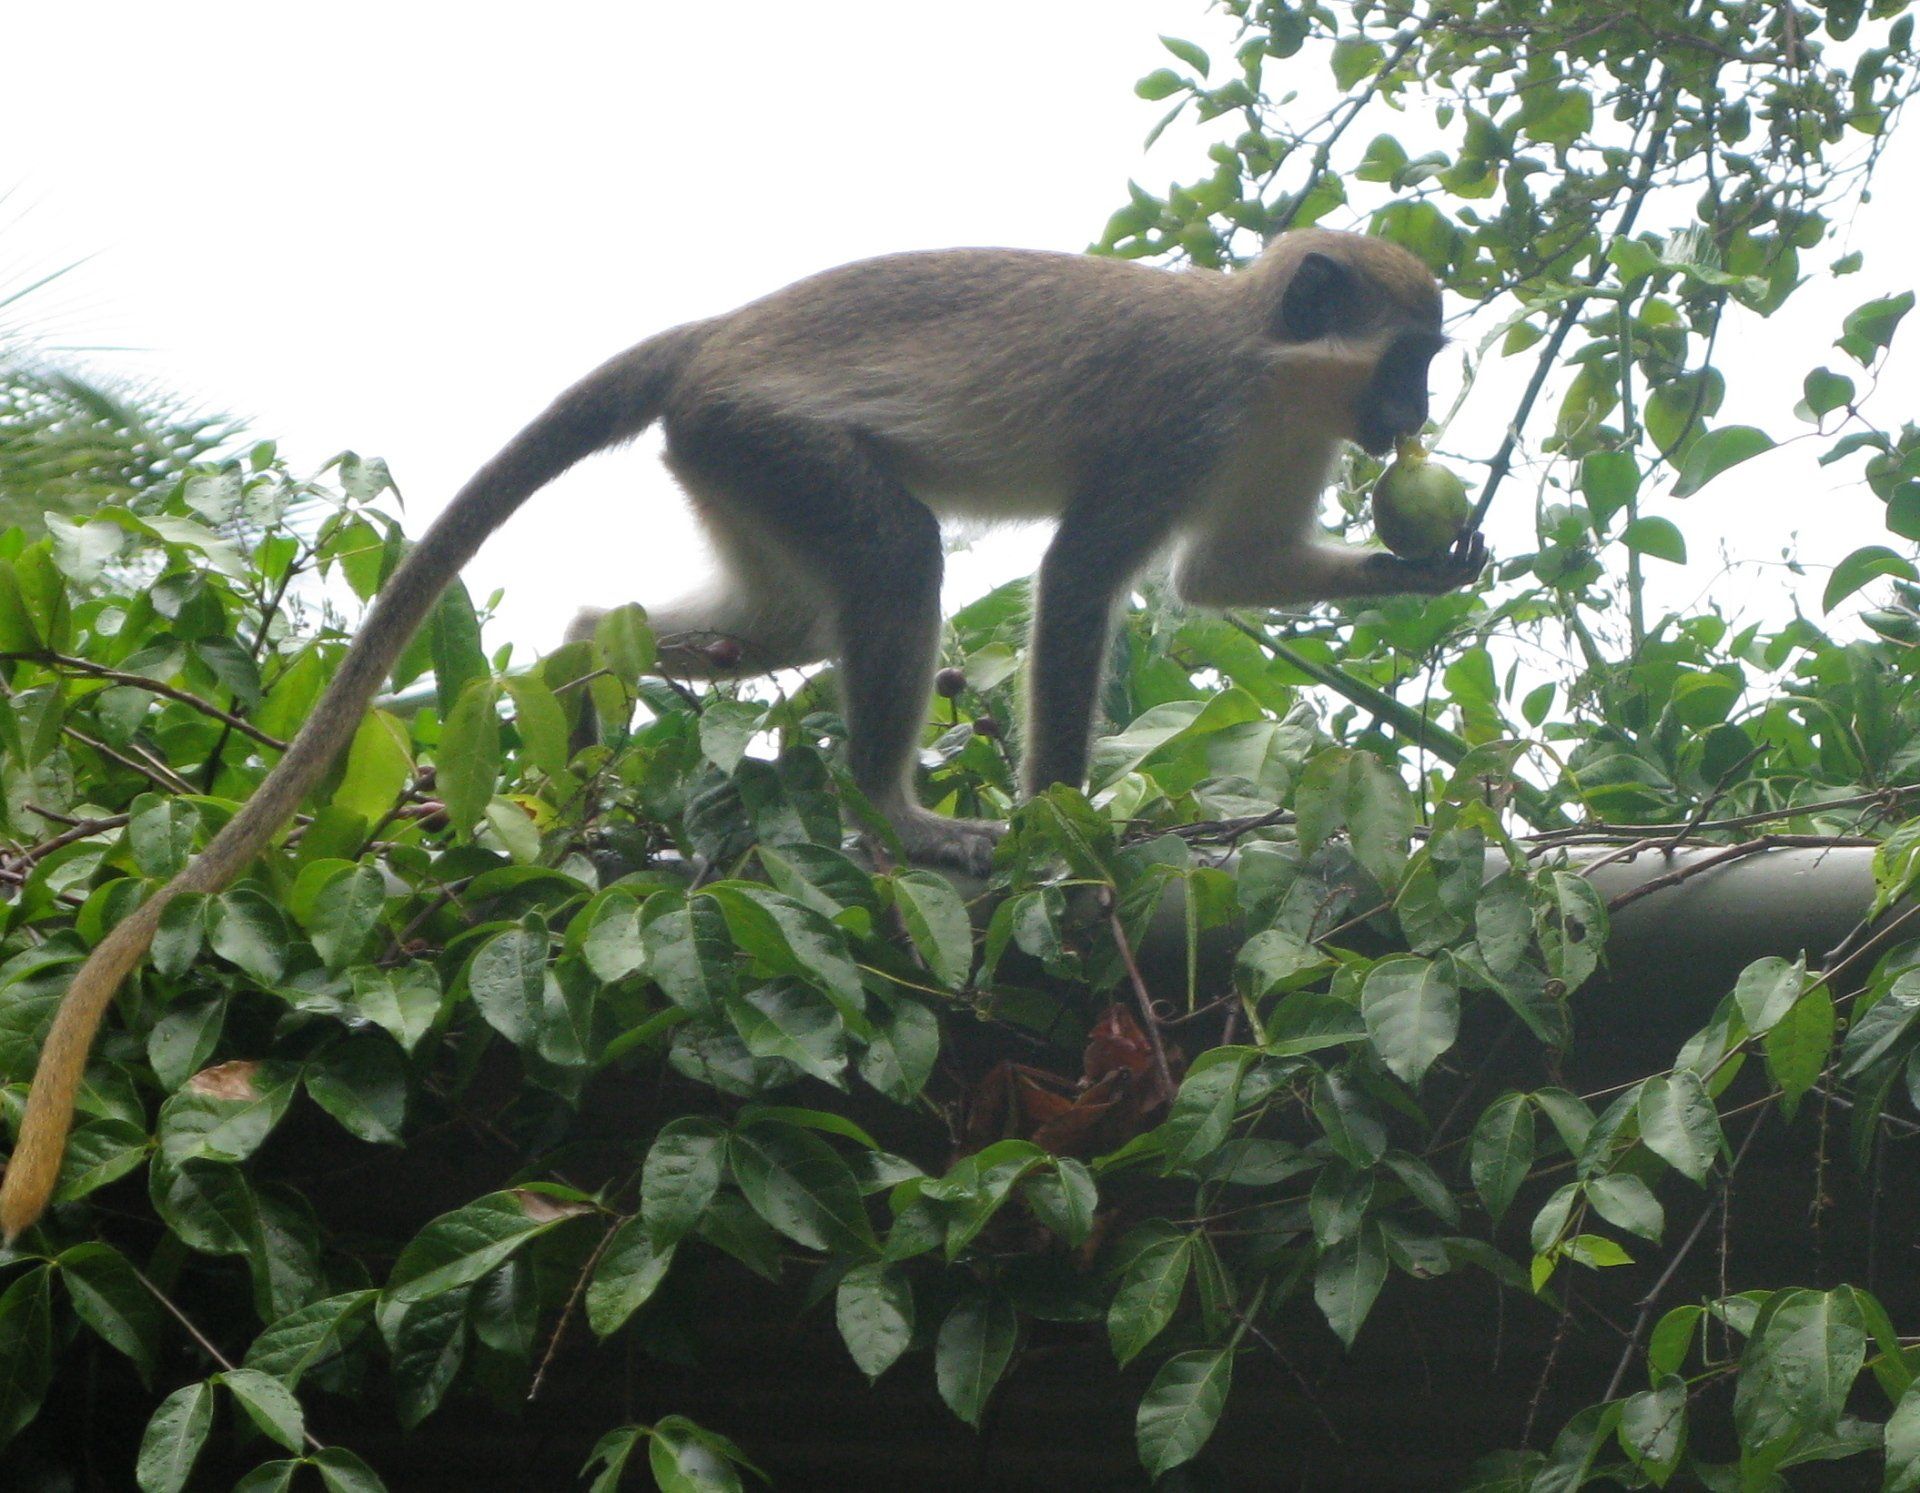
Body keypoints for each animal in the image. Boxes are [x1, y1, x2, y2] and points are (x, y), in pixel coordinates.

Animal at [0, 227, 1481, 1241]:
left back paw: (579, 679)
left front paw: (1429, 562)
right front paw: (1069, 826)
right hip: (764, 434)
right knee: (894, 562)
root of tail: (716, 336)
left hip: (731, 463)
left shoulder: (1279, 441)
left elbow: (1227, 573)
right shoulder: (1187, 419)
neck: (1267, 363)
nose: (1411, 420)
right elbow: (1085, 585)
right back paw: (891, 812)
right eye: (1410, 360)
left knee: (766, 622)